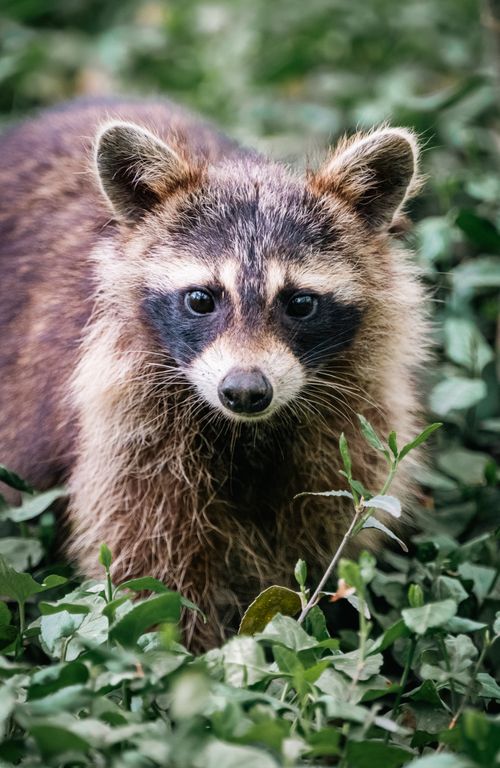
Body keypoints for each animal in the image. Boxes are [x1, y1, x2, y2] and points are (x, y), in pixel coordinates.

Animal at [0, 98, 426, 648]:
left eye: (300, 303)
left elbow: (320, 536)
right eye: (202, 299)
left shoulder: (348, 415)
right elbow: (147, 559)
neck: (247, 432)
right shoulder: (128, 424)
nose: (244, 391)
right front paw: (188, 651)